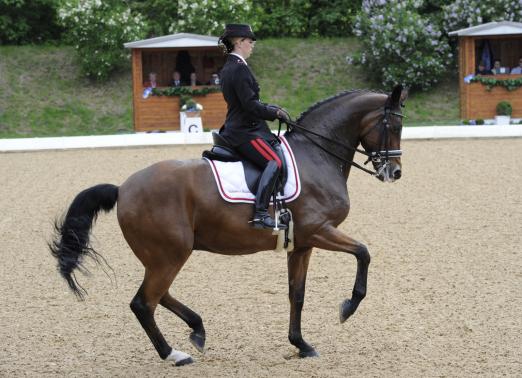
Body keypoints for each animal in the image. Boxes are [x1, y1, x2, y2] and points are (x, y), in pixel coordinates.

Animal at [48, 84, 404, 364]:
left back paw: (197, 330)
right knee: (144, 302)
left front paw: (301, 345)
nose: (395, 172)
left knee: (158, 295)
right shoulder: (319, 231)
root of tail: (122, 189)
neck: (316, 156)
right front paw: (348, 307)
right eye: (394, 125)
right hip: (170, 255)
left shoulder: (301, 244)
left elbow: (297, 295)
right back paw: (174, 354)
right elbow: (363, 253)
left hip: (164, 256)